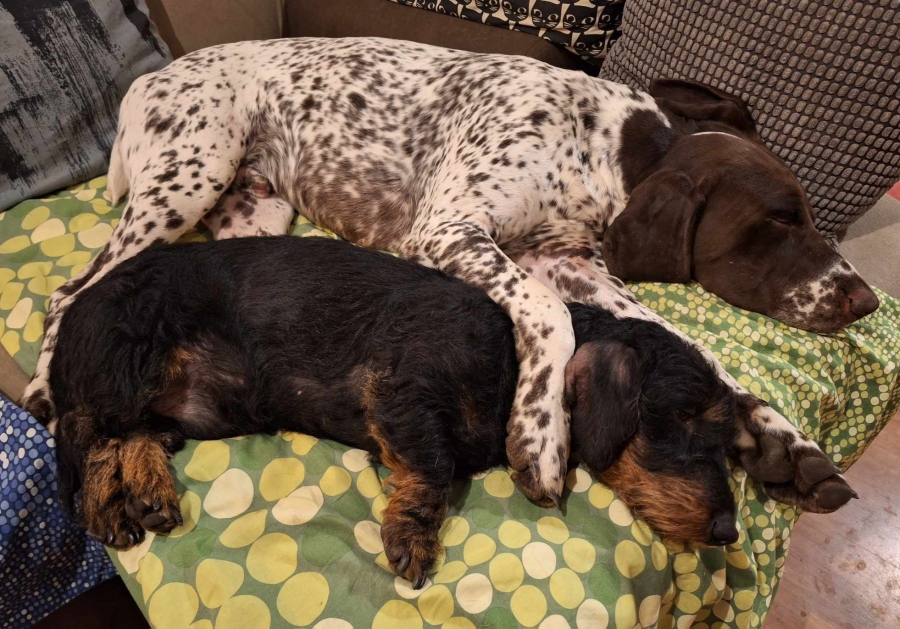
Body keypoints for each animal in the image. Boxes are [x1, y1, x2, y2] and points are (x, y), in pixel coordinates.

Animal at [23, 37, 871, 511]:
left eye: (807, 213)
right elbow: (550, 321)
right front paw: (541, 433)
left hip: (255, 214)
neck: (601, 148)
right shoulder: (454, 232)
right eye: (778, 222)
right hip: (186, 179)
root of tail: (144, 84)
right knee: (70, 292)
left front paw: (782, 441)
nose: (864, 297)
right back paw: (44, 388)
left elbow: (703, 352)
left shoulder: (568, 264)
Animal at [52, 236, 754, 588]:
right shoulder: (401, 387)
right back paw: (104, 506)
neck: (511, 356)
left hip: (194, 408)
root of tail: (75, 310)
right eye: (684, 420)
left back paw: (147, 492)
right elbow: (434, 467)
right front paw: (412, 536)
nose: (729, 532)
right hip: (127, 366)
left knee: (131, 438)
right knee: (86, 436)